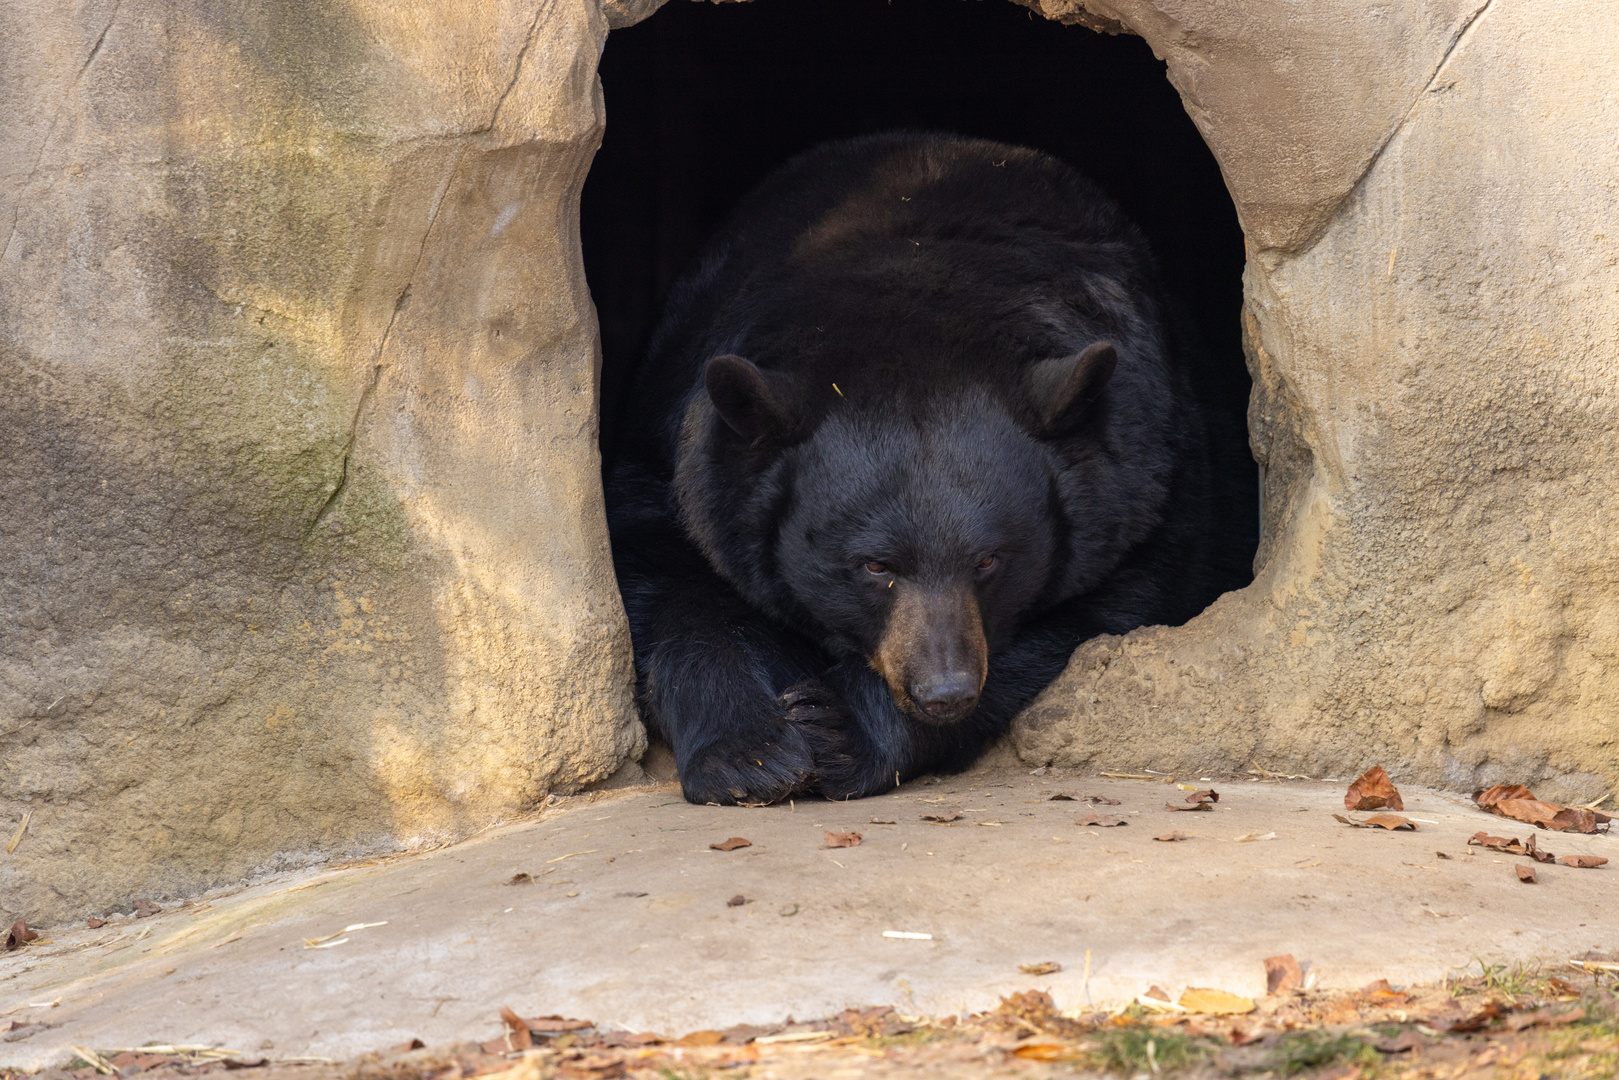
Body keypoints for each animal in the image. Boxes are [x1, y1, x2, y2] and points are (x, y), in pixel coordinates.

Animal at [608, 131, 1249, 803]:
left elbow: (1097, 613)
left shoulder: (1148, 477)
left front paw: (838, 730)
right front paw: (750, 755)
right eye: (875, 565)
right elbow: (670, 589)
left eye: (989, 561)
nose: (944, 692)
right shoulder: (675, 457)